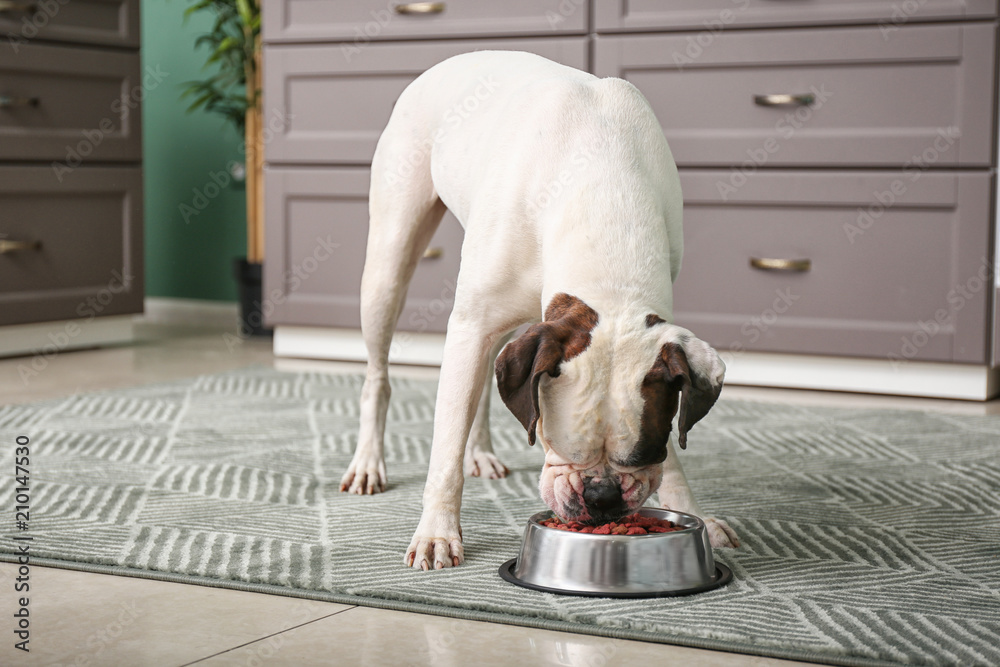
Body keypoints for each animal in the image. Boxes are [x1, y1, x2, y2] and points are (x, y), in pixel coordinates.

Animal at [340, 52, 740, 572]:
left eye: (641, 455)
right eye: (556, 444)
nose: (602, 497)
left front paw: (695, 513)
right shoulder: (472, 325)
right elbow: (444, 450)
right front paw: (437, 533)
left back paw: (480, 452)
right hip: (388, 268)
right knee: (379, 376)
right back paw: (369, 463)